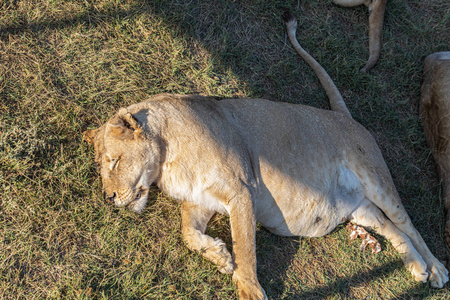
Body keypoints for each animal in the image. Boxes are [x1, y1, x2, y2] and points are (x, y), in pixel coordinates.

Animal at [84, 10, 446, 298]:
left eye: (113, 161)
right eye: (103, 166)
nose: (107, 197)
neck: (167, 161)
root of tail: (342, 115)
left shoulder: (242, 191)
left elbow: (246, 249)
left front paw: (247, 287)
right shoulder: (200, 200)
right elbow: (188, 234)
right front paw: (219, 255)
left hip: (376, 178)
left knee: (407, 223)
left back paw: (436, 268)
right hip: (358, 208)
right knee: (390, 227)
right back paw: (416, 266)